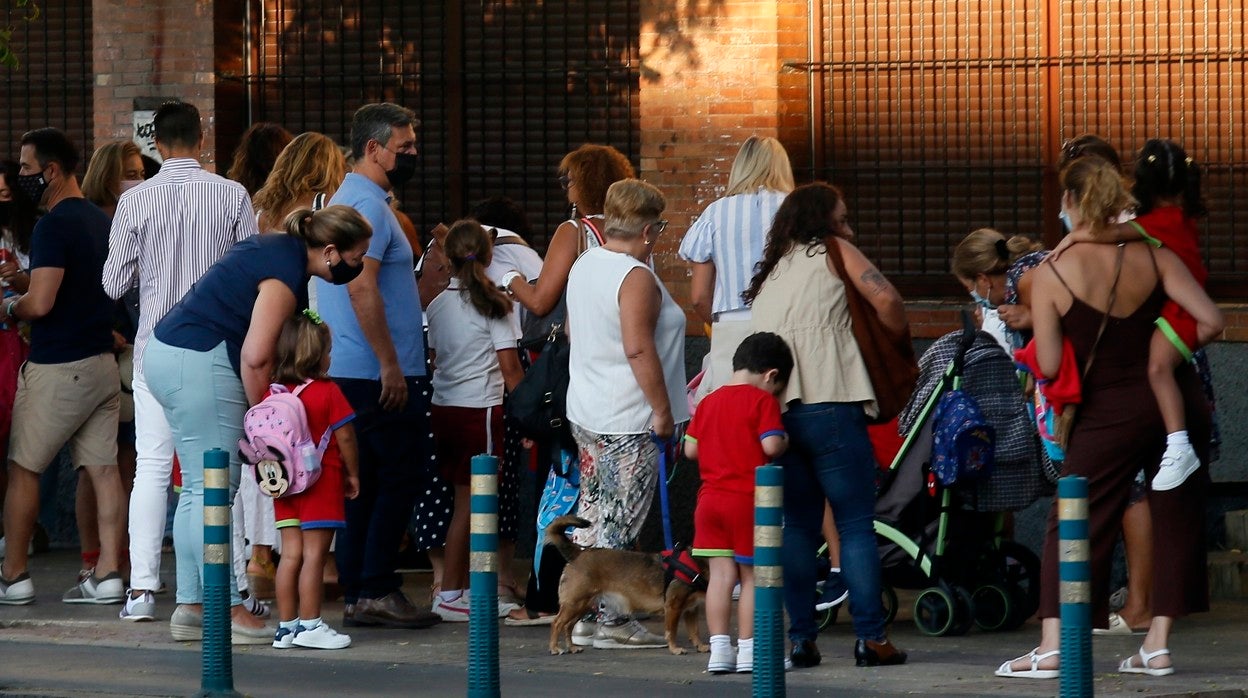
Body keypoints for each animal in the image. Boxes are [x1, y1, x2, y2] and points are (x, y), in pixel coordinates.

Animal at [544, 514, 708, 654]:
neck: (696, 562)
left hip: (583, 605)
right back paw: (555, 648)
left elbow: (695, 631)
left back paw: (572, 647)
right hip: (575, 603)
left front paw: (700, 646)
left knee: (568, 625)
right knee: (557, 623)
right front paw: (674, 648)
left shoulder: (691, 609)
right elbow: (671, 631)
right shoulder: (673, 607)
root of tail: (578, 553)